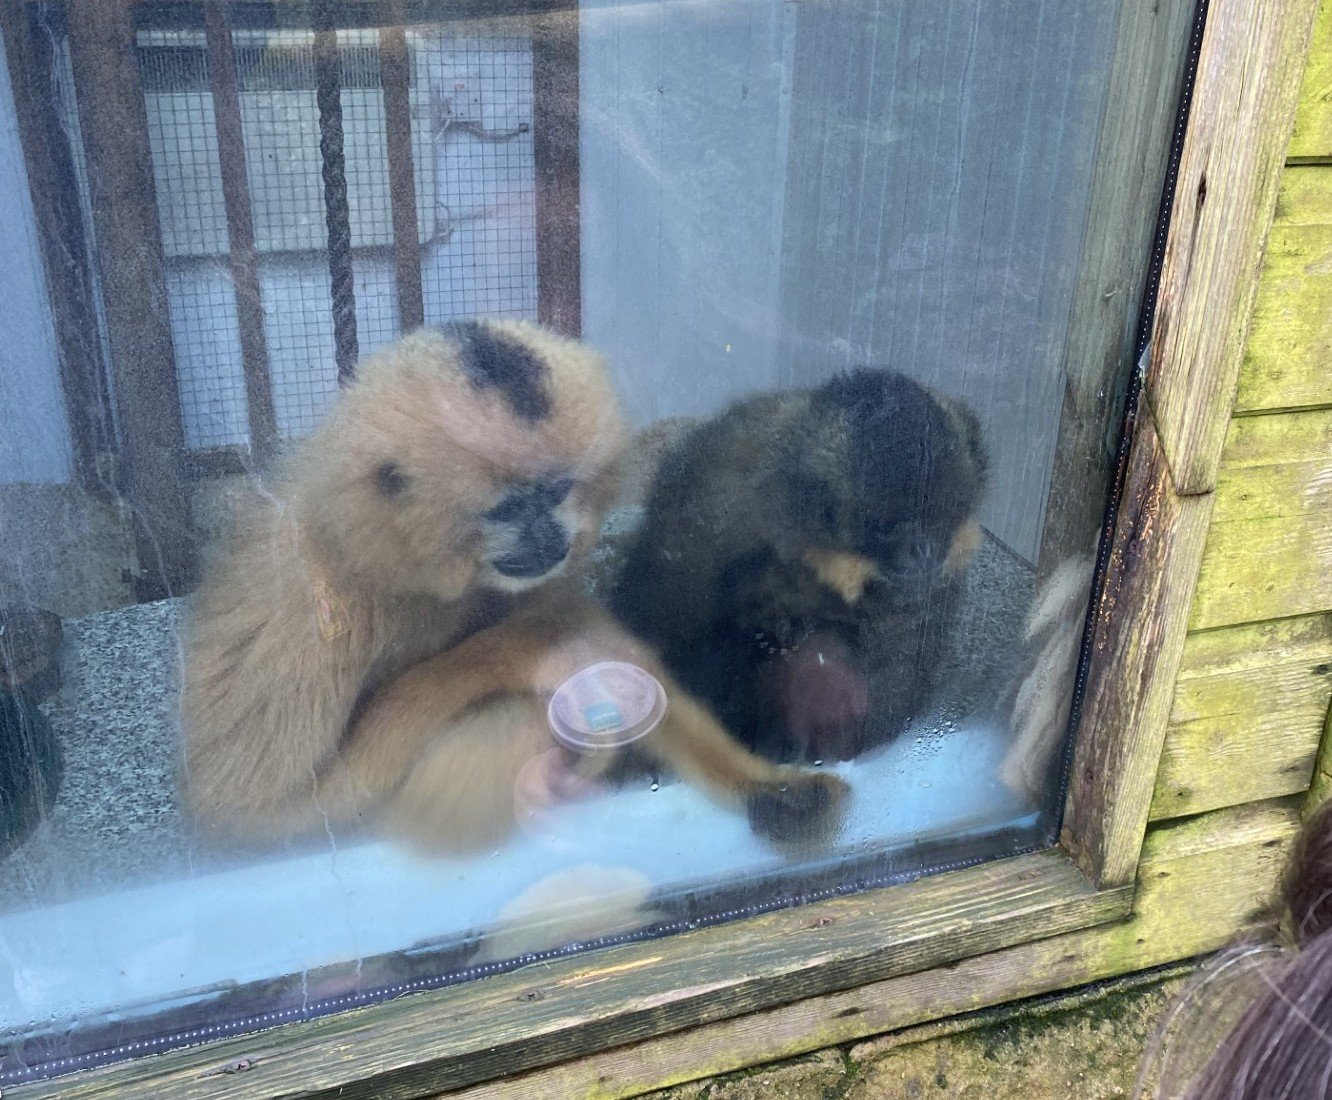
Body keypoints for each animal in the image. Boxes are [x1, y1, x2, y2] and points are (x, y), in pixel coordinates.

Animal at [179, 320, 847, 857]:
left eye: (556, 491)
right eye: (507, 509)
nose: (549, 534)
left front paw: (767, 786)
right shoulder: (308, 605)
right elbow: (257, 812)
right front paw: (546, 650)